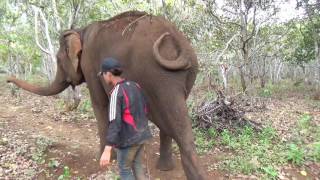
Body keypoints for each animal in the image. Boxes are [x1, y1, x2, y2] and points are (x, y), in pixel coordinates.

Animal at [7, 11, 208, 180]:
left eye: (57, 59)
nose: (7, 79)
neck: (80, 31)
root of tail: (175, 39)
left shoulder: (90, 64)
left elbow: (100, 104)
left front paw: (102, 159)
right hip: (185, 75)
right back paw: (165, 168)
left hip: (158, 78)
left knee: (175, 122)